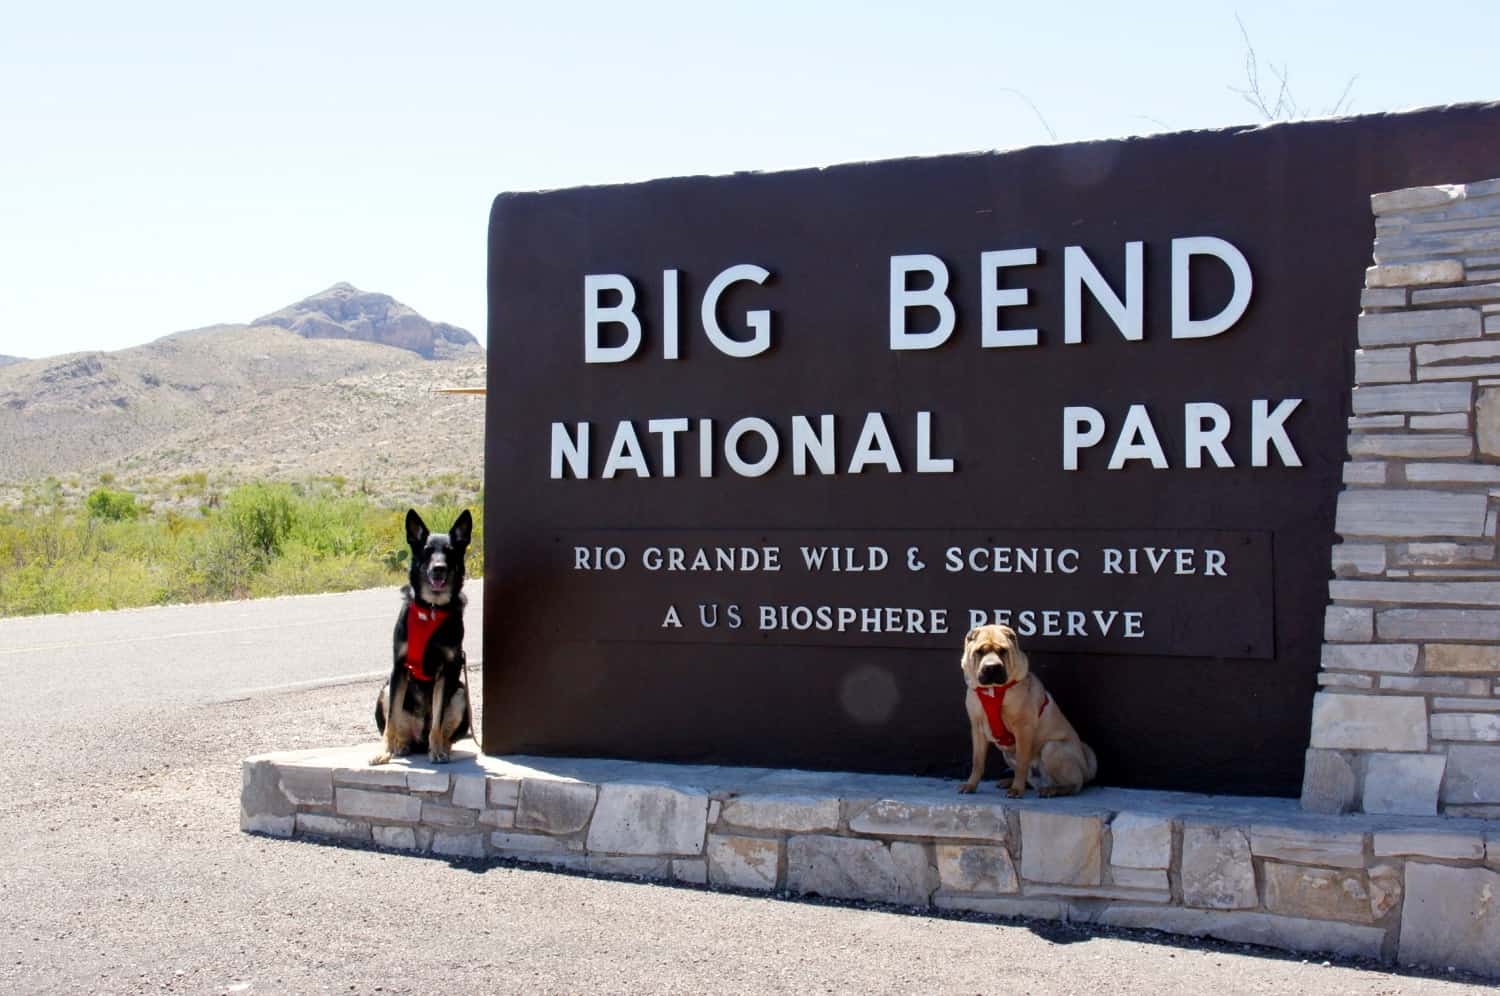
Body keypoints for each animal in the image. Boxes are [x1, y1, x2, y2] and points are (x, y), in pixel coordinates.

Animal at [372, 510, 471, 765]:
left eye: (450, 551)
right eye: (427, 550)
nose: (439, 568)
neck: (432, 609)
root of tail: (418, 740)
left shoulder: (447, 669)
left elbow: (437, 719)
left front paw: (437, 751)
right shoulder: (399, 668)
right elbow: (391, 720)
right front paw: (383, 751)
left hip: (460, 693)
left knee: (443, 732)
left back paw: (440, 747)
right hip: (386, 688)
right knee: (398, 726)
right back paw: (399, 746)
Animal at [966, 627, 1098, 798]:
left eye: (1003, 651)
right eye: (980, 652)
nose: (991, 667)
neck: (993, 690)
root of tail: (1086, 768)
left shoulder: (1023, 729)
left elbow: (1022, 762)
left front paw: (1017, 790)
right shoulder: (977, 730)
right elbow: (977, 762)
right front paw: (971, 785)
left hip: (1051, 748)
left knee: (1075, 784)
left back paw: (1051, 790)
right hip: (1008, 754)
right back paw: (1010, 782)